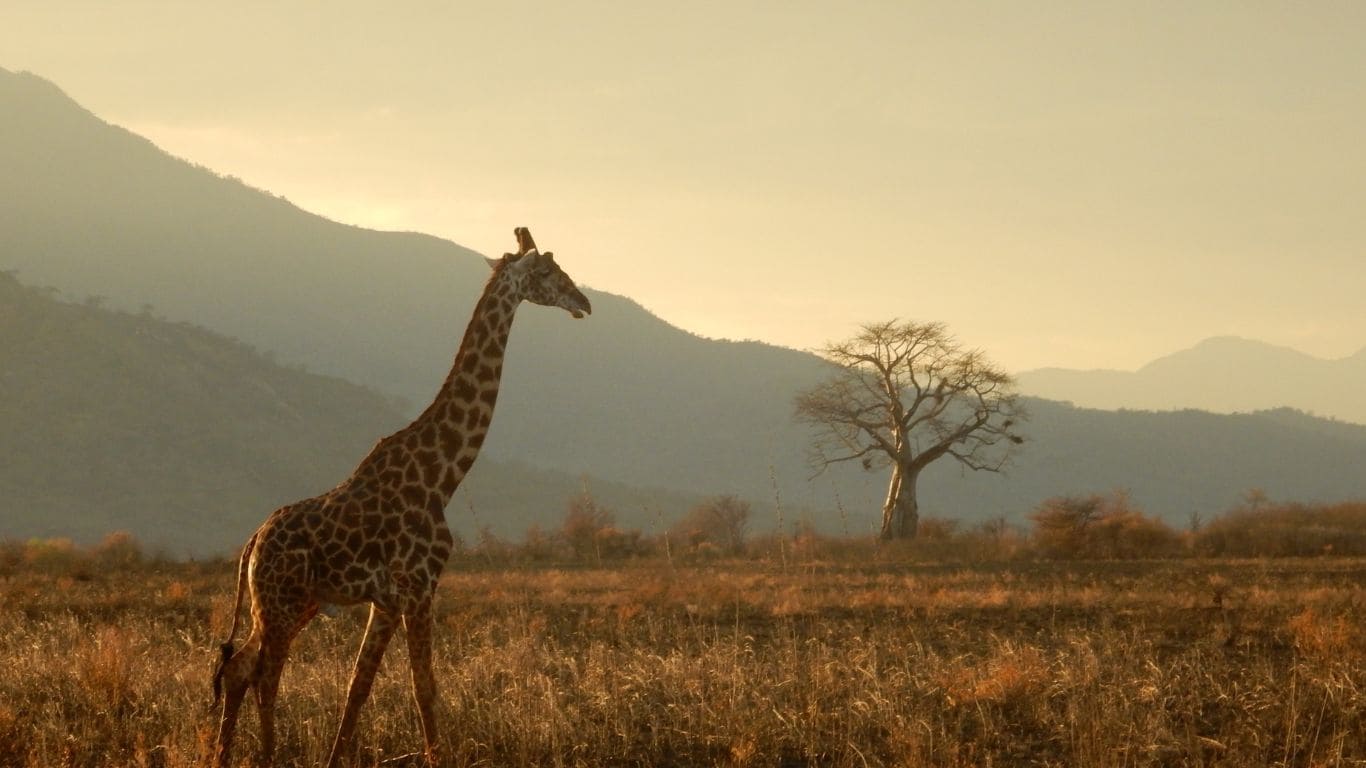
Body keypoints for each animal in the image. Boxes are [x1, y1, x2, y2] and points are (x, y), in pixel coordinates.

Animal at [210, 227, 591, 768]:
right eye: (547, 271)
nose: (584, 302)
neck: (442, 476)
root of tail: (252, 543)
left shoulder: (388, 599)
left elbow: (360, 686)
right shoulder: (416, 586)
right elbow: (420, 687)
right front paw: (437, 757)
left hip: (295, 604)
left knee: (240, 667)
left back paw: (223, 756)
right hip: (282, 603)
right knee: (264, 675)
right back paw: (265, 757)